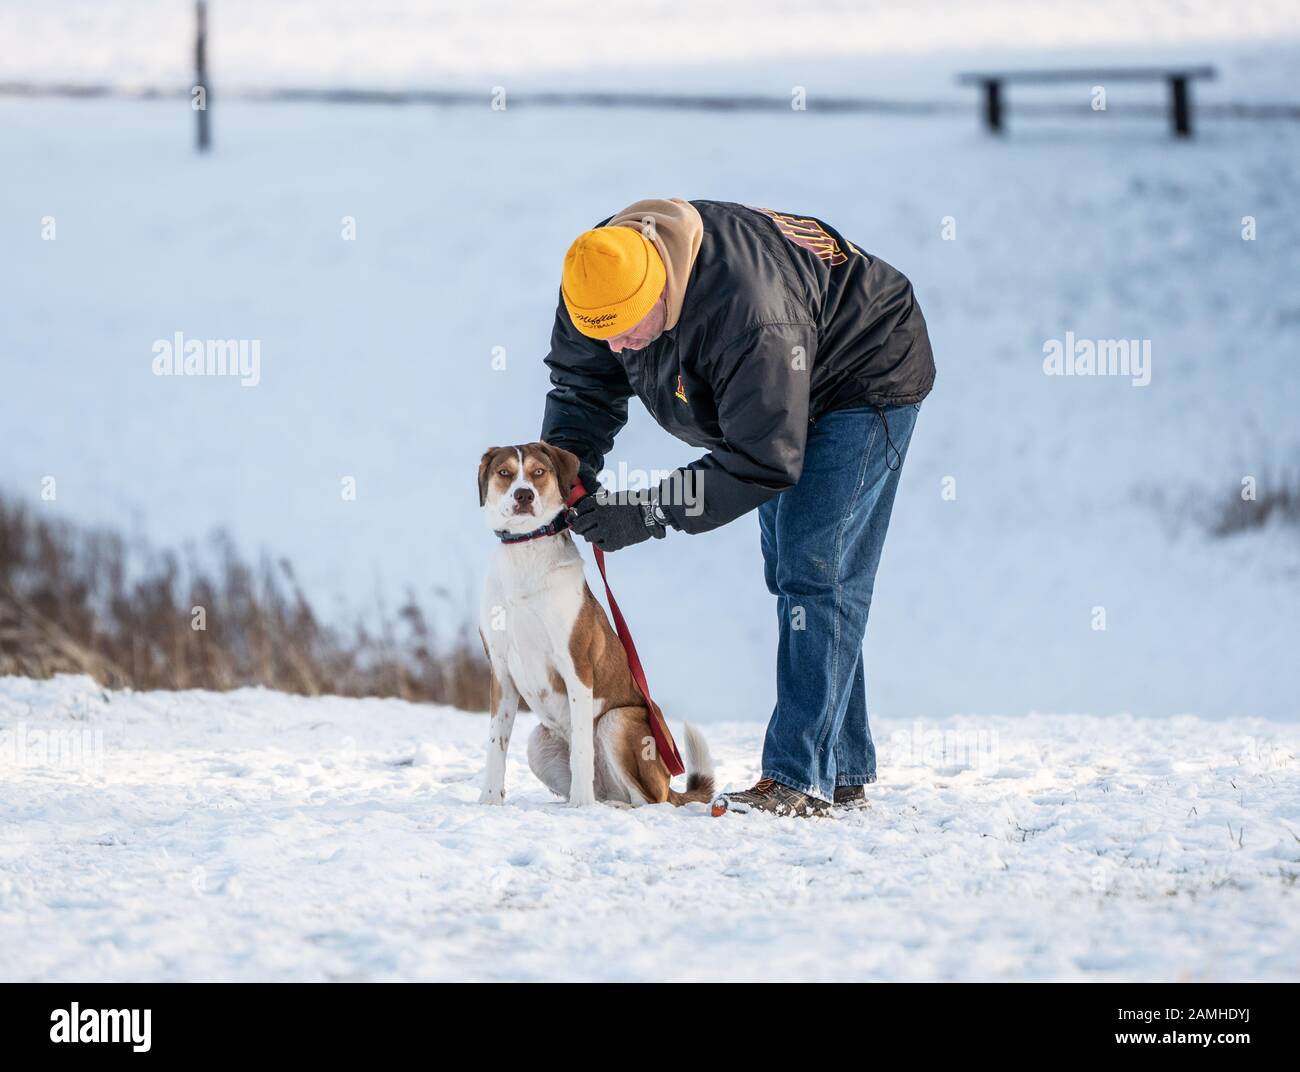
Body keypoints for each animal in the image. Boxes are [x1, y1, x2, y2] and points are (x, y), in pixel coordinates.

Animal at [478, 439, 717, 805]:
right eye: (505, 473)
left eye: (538, 472)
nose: (524, 495)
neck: (527, 551)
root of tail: (669, 783)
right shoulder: (502, 671)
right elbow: (496, 745)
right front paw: (489, 800)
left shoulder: (576, 666)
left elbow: (580, 747)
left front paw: (580, 806)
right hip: (539, 742)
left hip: (617, 721)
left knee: (646, 801)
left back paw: (600, 804)